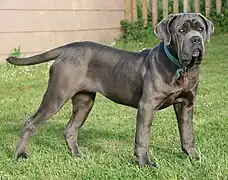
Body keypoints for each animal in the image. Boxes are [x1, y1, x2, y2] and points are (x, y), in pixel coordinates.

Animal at [6, 13, 214, 167]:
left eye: (200, 29)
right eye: (181, 30)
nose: (196, 40)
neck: (181, 68)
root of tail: (67, 48)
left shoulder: (186, 105)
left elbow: (187, 134)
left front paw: (194, 158)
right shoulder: (147, 106)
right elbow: (143, 137)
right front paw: (144, 163)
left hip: (84, 102)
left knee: (70, 130)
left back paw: (78, 156)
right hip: (57, 95)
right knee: (30, 122)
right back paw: (19, 155)